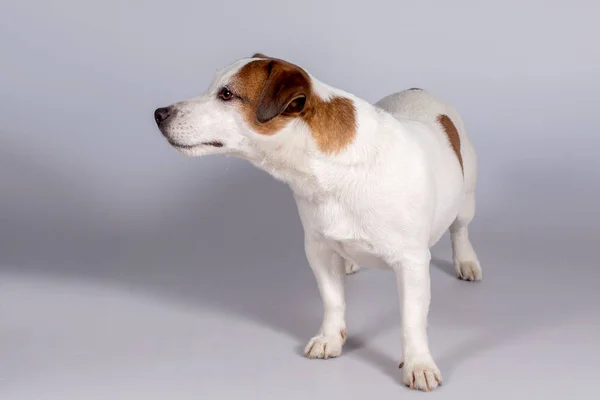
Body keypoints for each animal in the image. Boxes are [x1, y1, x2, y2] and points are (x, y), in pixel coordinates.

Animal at [152, 53, 480, 390]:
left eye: (227, 94)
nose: (159, 113)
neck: (331, 167)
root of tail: (418, 90)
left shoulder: (412, 262)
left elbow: (412, 320)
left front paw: (418, 363)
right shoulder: (319, 249)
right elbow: (332, 299)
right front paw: (330, 338)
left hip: (465, 200)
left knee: (460, 229)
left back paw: (466, 261)